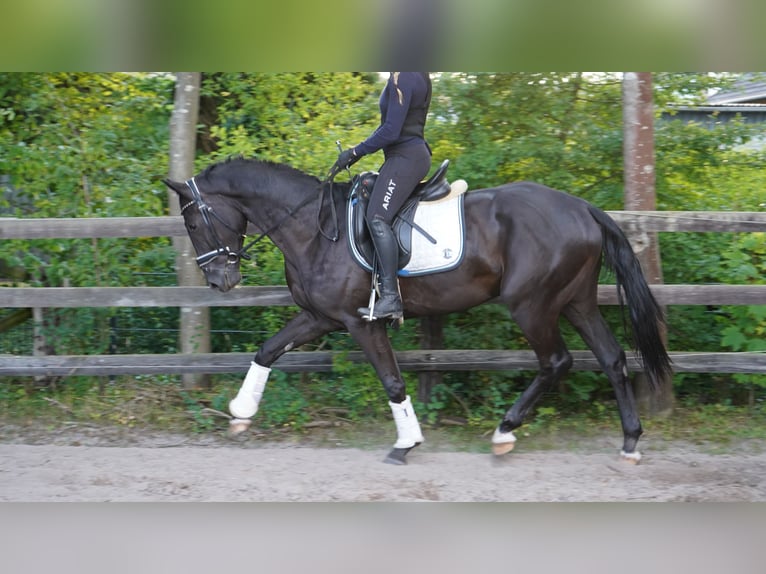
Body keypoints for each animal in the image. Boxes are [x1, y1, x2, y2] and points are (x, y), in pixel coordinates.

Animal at [164, 156, 672, 465]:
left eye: (193, 221)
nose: (220, 281)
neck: (315, 226)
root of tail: (583, 208)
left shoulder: (359, 322)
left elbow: (392, 381)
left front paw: (406, 443)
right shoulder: (321, 316)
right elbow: (268, 350)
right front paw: (240, 410)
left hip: (533, 305)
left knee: (556, 362)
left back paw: (504, 431)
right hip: (577, 301)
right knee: (612, 359)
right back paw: (630, 441)